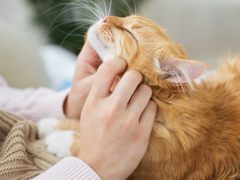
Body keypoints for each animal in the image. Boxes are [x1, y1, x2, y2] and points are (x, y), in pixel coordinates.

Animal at [38, 15, 240, 179]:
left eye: (129, 32)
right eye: (124, 16)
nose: (105, 18)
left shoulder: (141, 169)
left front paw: (60, 140)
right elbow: (79, 121)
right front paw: (48, 124)